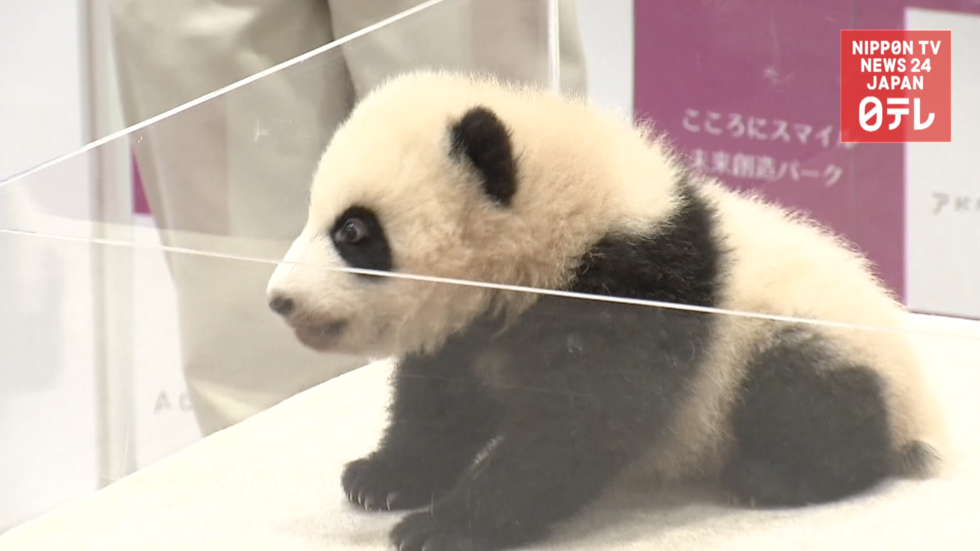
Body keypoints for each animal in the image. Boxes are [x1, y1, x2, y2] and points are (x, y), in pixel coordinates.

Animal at [265, 70, 947, 551]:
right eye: (311, 214)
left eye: (354, 231)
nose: (279, 299)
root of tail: (921, 412)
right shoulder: (482, 320)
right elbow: (443, 401)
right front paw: (382, 478)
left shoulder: (632, 285)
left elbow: (580, 425)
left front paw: (448, 525)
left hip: (804, 340)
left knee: (810, 401)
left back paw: (774, 477)